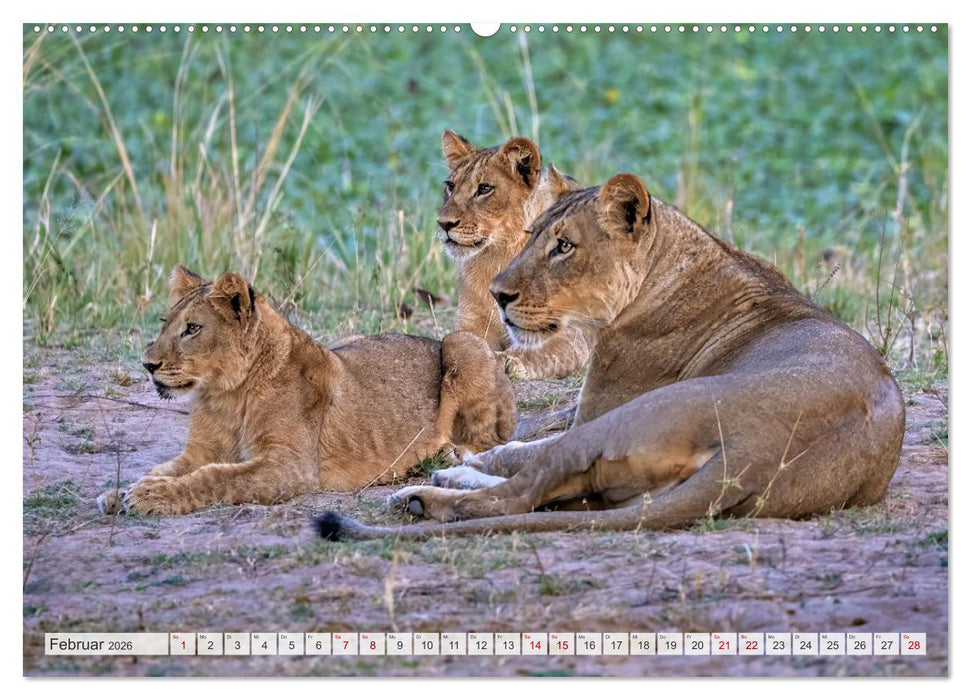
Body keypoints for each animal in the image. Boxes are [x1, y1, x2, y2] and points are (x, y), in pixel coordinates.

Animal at [97, 266, 516, 516]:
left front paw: (150, 496)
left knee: (492, 438)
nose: (147, 364)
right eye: (165, 323)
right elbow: (165, 468)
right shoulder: (201, 452)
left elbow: (217, 478)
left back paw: (449, 453)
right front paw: (122, 492)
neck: (226, 394)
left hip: (462, 343)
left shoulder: (289, 466)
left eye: (192, 329)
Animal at [317, 173, 905, 540]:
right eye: (530, 237)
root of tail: (760, 451)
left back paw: (426, 494)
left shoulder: (595, 410)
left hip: (632, 418)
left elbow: (522, 447)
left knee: (517, 494)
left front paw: (473, 459)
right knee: (551, 496)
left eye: (564, 246)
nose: (498, 295)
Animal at [437, 130, 594, 379]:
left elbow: (539, 346)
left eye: (484, 188)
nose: (443, 224)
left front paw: (505, 360)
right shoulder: (471, 321)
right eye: (450, 186)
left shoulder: (575, 332)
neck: (498, 256)